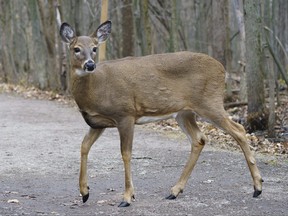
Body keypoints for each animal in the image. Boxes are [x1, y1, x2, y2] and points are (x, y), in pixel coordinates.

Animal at [59, 20, 264, 208]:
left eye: (94, 48)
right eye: (76, 49)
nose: (90, 65)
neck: (96, 89)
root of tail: (222, 69)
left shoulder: (125, 114)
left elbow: (126, 153)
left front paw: (127, 197)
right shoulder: (98, 123)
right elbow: (84, 146)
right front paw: (84, 192)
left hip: (209, 102)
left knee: (238, 130)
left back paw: (258, 187)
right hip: (184, 113)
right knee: (199, 139)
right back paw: (174, 191)